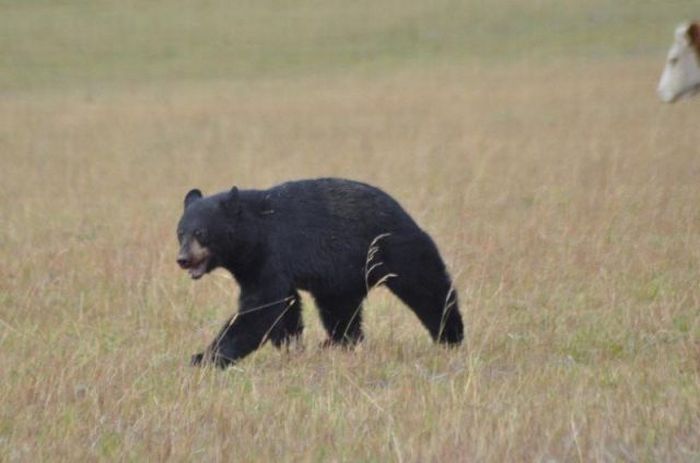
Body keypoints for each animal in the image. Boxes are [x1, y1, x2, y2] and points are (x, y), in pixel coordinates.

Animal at [175, 176, 462, 368]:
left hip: (394, 248)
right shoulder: (251, 266)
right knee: (341, 311)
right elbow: (285, 307)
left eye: (201, 233)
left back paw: (451, 336)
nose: (183, 259)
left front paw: (203, 357)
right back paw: (338, 343)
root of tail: (403, 212)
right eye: (180, 233)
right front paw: (291, 346)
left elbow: (261, 308)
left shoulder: (272, 253)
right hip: (343, 276)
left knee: (427, 288)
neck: (252, 235)